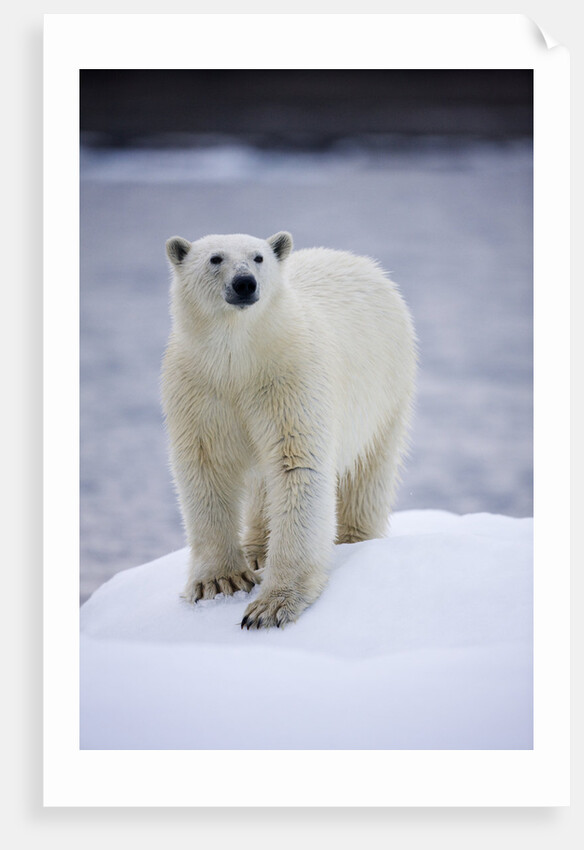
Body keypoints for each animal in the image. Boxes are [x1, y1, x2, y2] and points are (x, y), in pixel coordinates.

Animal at [162, 231, 417, 629]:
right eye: (215, 258)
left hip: (386, 390)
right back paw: (255, 550)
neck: (239, 360)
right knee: (260, 485)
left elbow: (296, 467)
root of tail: (361, 262)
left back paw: (352, 541)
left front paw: (272, 605)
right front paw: (219, 582)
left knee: (366, 473)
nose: (245, 283)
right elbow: (206, 468)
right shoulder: (200, 390)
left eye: (259, 257)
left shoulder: (288, 379)